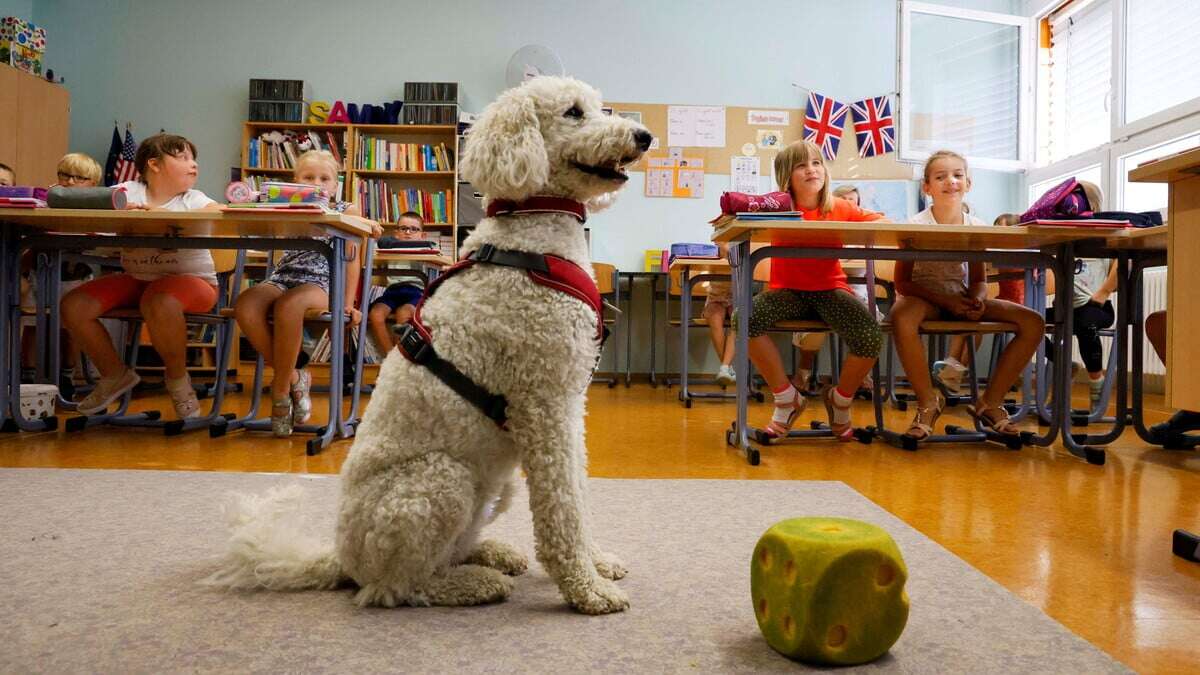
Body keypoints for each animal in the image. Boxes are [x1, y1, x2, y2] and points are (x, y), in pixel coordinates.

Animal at [206, 76, 657, 612]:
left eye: (602, 107)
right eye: (573, 112)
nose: (644, 136)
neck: (532, 235)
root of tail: (344, 558)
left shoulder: (569, 407)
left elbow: (580, 494)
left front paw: (597, 563)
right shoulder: (545, 406)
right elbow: (562, 505)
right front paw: (586, 588)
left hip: (492, 485)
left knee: (447, 553)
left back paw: (491, 554)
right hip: (440, 480)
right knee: (398, 587)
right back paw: (474, 584)